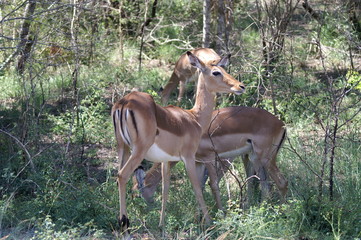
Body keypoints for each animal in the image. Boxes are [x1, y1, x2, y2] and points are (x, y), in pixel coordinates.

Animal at [111, 50, 243, 236]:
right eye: (216, 72)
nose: (240, 86)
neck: (194, 118)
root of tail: (124, 103)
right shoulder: (189, 157)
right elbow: (197, 188)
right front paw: (210, 223)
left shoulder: (166, 160)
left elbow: (165, 189)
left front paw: (161, 224)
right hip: (138, 150)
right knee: (122, 176)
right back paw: (124, 224)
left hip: (122, 147)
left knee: (118, 177)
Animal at [134, 106, 288, 211]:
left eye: (137, 193)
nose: (145, 209)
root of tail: (281, 124)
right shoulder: (199, 162)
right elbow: (200, 187)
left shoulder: (209, 158)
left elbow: (212, 184)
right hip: (254, 158)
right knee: (264, 185)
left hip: (264, 158)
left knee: (281, 182)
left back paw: (280, 211)